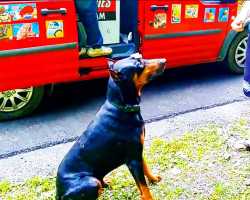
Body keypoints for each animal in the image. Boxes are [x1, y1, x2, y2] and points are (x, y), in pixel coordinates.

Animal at [55, 54, 167, 199]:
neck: (122, 107)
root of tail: (59, 192)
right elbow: (143, 187)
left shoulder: (137, 151)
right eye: (140, 64)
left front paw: (153, 179)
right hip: (92, 182)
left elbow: (146, 167)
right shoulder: (132, 159)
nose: (164, 60)